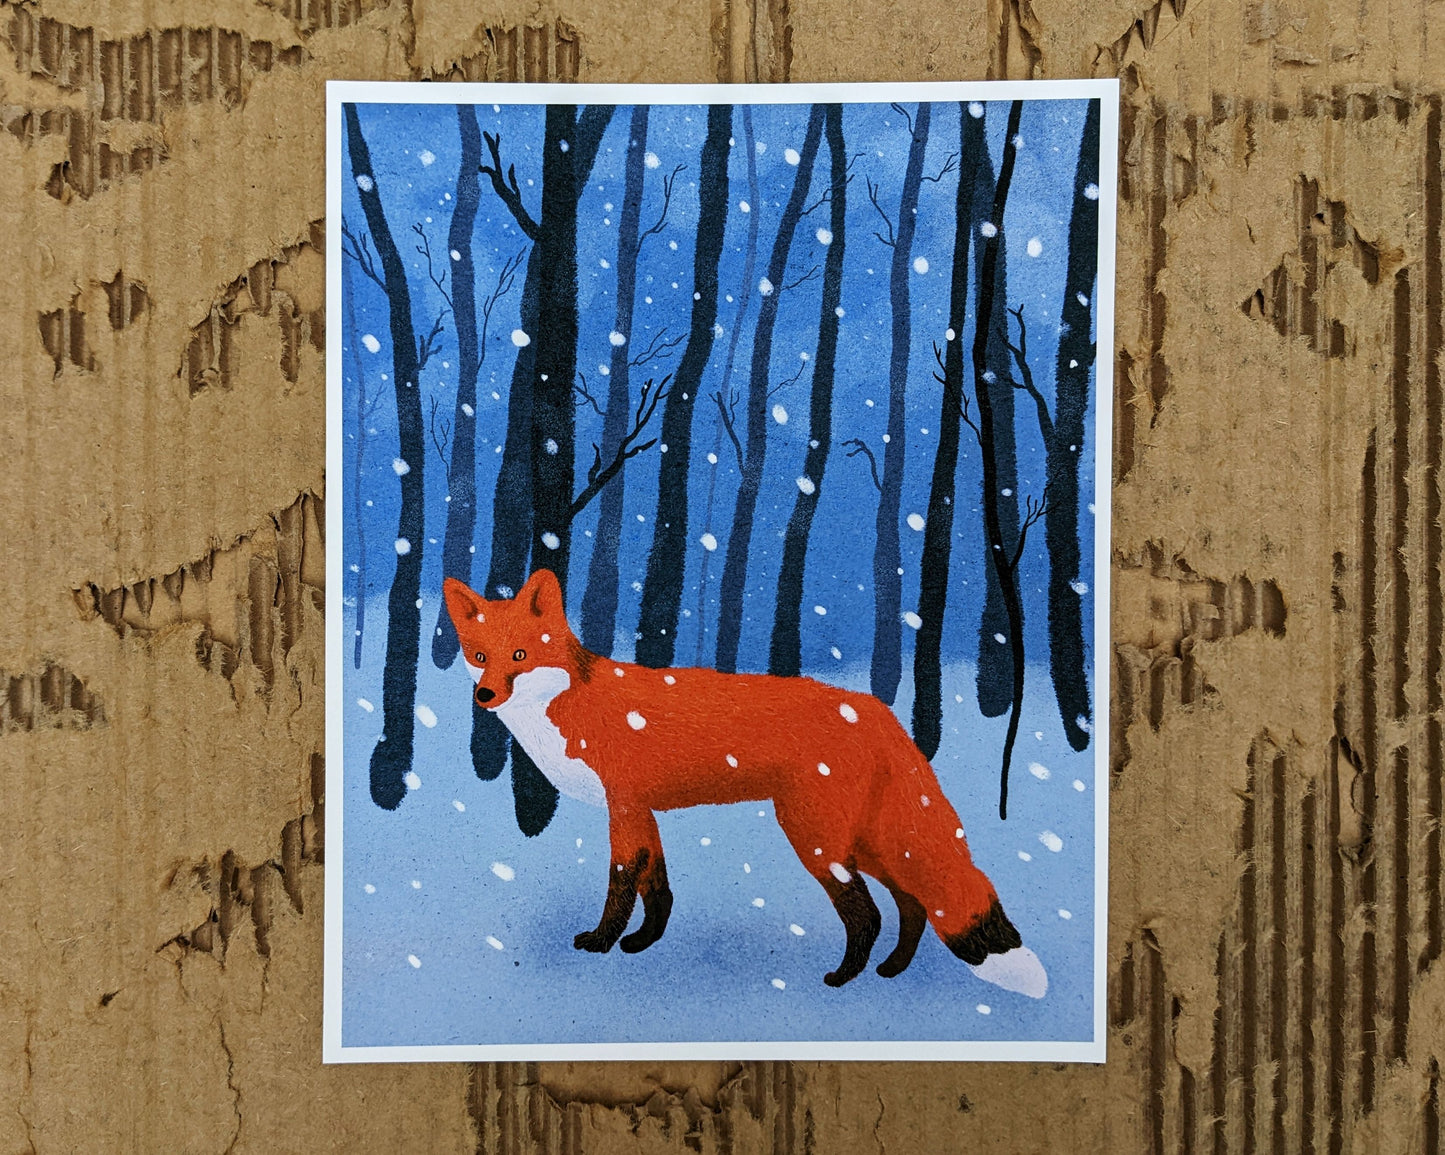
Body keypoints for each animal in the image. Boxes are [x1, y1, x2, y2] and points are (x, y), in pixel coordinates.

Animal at [443, 568, 1046, 996]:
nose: (486, 695)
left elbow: (621, 886)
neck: (572, 704)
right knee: (914, 906)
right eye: (480, 655)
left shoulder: (624, 805)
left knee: (870, 914)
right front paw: (641, 944)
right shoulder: (642, 812)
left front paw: (601, 943)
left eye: (521, 654)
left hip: (818, 839)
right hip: (866, 842)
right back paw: (892, 972)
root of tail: (873, 708)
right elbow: (657, 888)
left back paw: (844, 979)